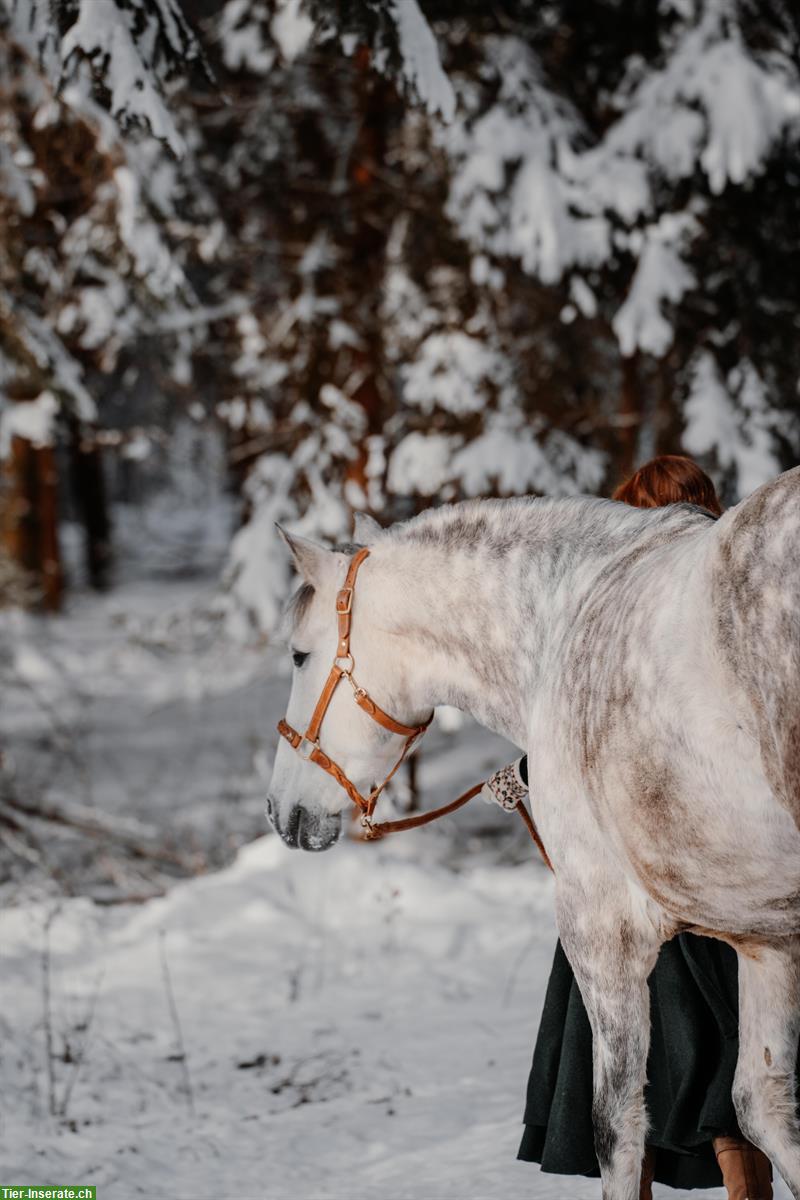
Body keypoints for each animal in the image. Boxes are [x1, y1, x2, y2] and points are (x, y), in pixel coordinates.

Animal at [267, 468, 800, 1200]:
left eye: (298, 655)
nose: (278, 808)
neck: (561, 625)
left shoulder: (602, 930)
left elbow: (617, 1128)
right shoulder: (763, 939)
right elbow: (763, 1108)